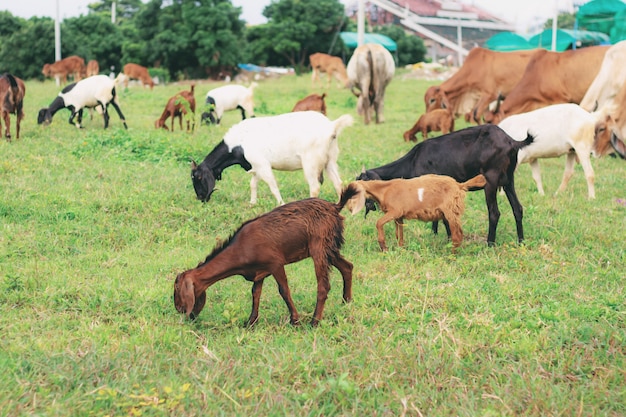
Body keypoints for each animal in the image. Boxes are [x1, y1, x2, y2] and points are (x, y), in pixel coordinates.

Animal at [173, 184, 356, 324]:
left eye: (177, 289)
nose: (180, 310)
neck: (240, 248)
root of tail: (335, 207)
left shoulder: (275, 263)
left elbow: (284, 290)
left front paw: (295, 320)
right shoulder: (258, 272)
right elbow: (255, 293)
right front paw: (250, 322)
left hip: (319, 247)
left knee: (323, 285)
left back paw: (314, 321)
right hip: (329, 247)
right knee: (347, 267)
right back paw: (346, 302)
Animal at [346, 173, 482, 250]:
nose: (349, 208)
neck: (384, 190)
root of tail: (459, 185)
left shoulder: (395, 211)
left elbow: (379, 223)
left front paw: (383, 246)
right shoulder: (399, 216)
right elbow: (399, 234)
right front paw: (401, 249)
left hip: (451, 212)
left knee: (457, 235)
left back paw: (452, 254)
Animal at [356, 125, 532, 245]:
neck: (413, 161)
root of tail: (511, 141)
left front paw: (448, 238)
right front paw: (435, 234)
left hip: (491, 179)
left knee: (494, 213)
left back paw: (490, 243)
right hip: (508, 180)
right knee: (518, 208)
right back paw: (521, 241)